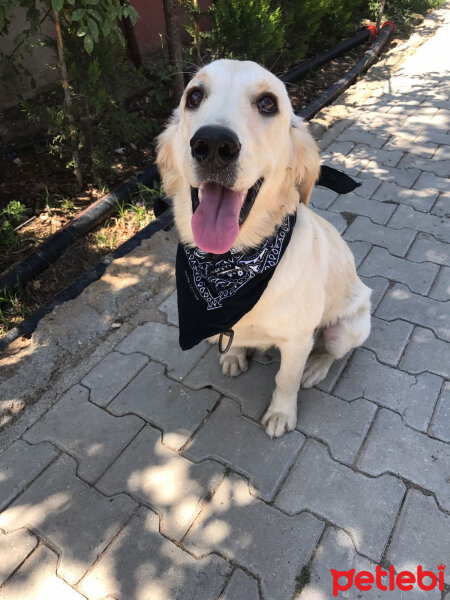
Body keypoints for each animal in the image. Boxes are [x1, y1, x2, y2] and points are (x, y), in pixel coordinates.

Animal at [156, 59, 370, 436]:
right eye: (194, 96)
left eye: (268, 103)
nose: (214, 144)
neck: (231, 264)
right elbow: (236, 338)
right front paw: (233, 355)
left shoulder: (298, 340)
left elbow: (286, 378)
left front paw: (281, 413)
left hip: (346, 328)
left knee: (331, 351)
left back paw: (316, 367)